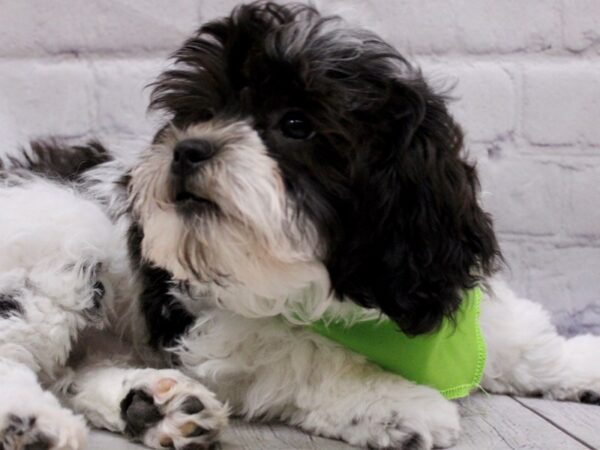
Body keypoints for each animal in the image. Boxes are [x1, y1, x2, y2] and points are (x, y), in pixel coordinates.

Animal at [1, 3, 600, 450]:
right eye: (197, 113)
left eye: (295, 124)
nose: (188, 148)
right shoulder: (220, 325)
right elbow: (302, 353)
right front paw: (392, 400)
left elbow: (518, 336)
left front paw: (582, 362)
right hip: (60, 247)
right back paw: (33, 423)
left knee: (77, 370)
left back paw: (154, 403)